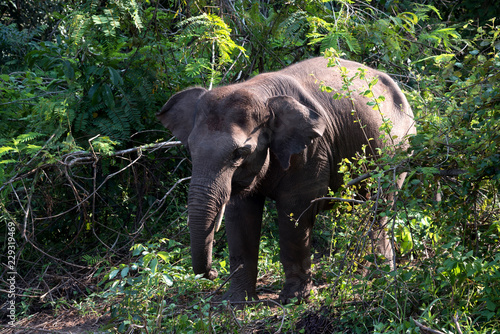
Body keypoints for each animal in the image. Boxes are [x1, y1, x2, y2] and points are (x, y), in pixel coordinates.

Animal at [158, 56, 416, 302]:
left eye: (239, 153)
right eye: (190, 149)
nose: (212, 273)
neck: (260, 94)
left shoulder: (311, 151)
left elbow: (294, 213)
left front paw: (293, 299)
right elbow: (240, 215)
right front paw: (237, 301)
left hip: (398, 150)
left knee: (380, 209)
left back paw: (380, 277)